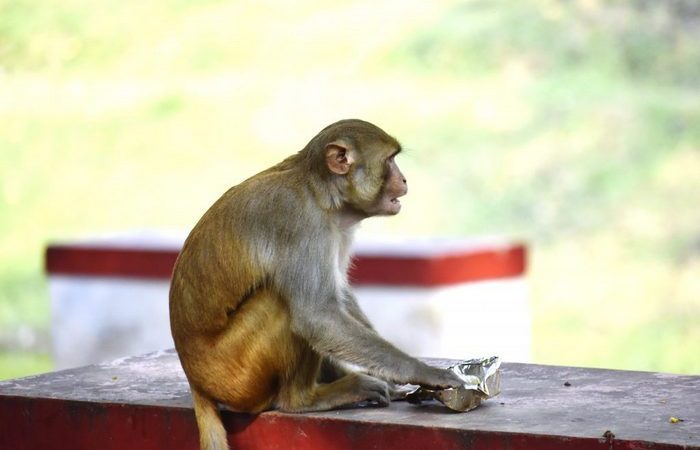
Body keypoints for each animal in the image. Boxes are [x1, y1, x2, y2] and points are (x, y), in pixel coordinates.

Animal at [169, 119, 463, 450]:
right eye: (390, 160)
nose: (403, 179)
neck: (321, 195)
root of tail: (196, 382)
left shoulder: (338, 228)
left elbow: (338, 296)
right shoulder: (299, 222)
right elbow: (317, 315)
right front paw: (423, 372)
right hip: (234, 377)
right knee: (281, 303)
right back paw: (303, 399)